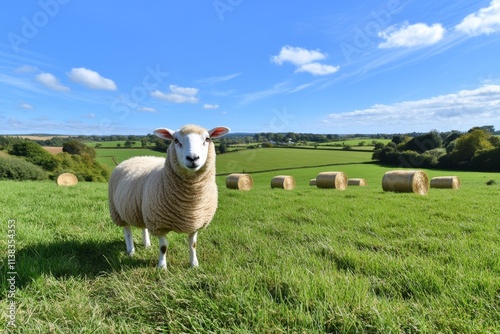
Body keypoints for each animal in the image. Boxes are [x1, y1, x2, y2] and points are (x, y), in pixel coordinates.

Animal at [109, 124, 230, 268]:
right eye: (176, 140)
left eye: (207, 139)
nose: (193, 158)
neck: (190, 201)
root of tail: (134, 157)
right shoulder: (159, 223)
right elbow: (163, 247)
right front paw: (162, 266)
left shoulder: (195, 221)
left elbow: (193, 245)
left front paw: (194, 264)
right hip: (119, 211)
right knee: (127, 231)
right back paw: (131, 250)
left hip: (142, 209)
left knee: (143, 227)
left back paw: (147, 244)